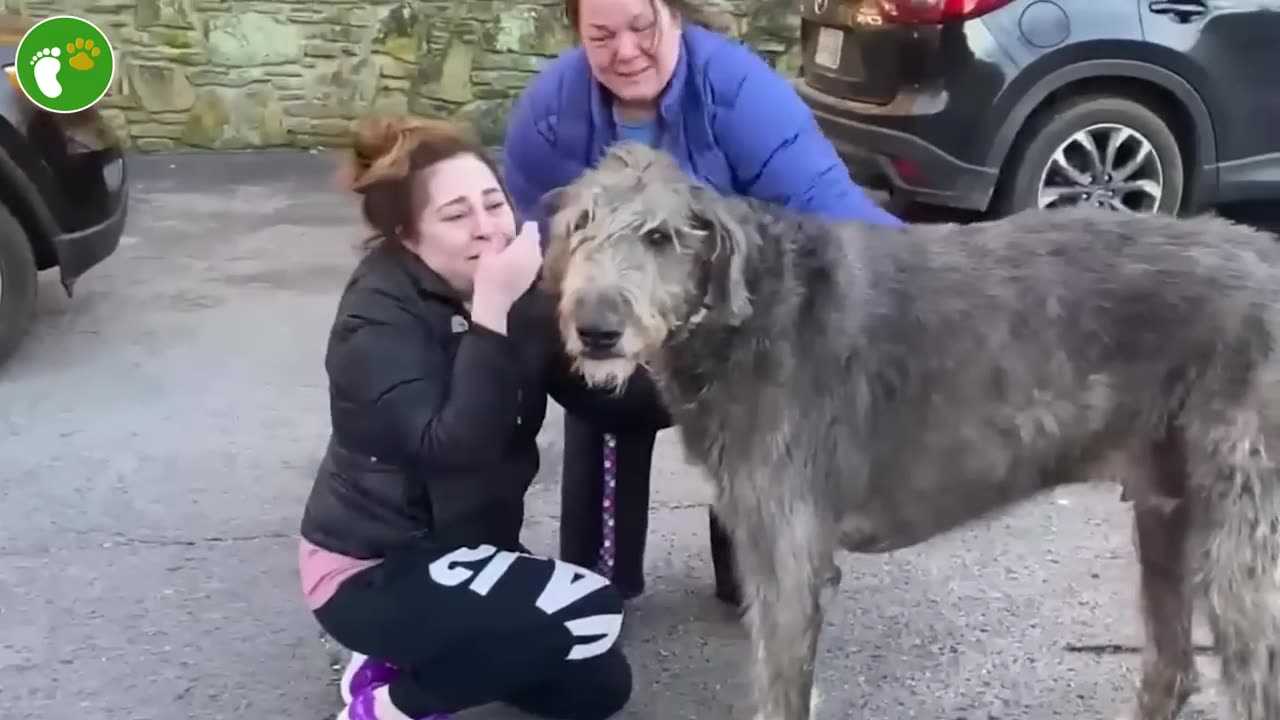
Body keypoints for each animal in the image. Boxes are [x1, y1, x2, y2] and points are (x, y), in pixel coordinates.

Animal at [537, 141, 1280, 717]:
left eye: (660, 237)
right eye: (579, 227)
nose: (595, 330)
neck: (746, 316)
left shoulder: (790, 556)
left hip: (1241, 536)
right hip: (1166, 511)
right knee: (1174, 668)